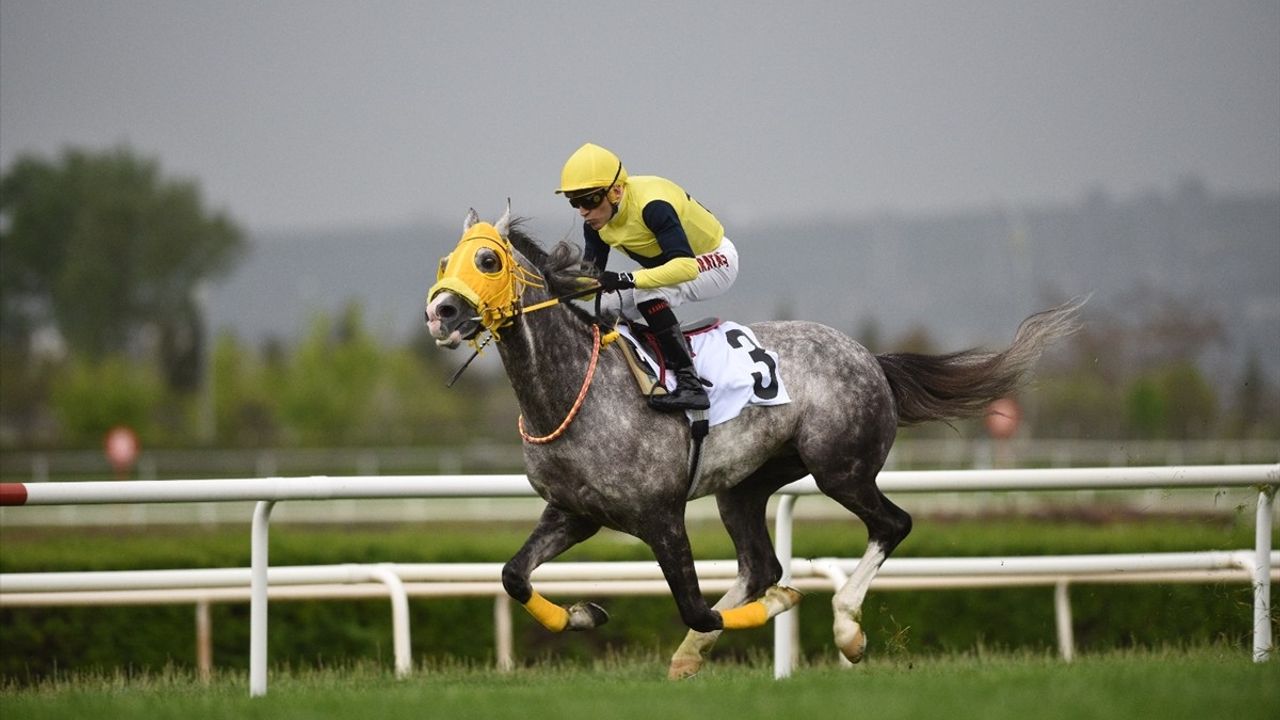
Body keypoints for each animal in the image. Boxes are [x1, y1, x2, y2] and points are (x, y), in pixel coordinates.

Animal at [425, 204, 1082, 678]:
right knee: (761, 562)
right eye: (444, 261)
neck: (571, 393)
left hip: (839, 468)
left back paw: (846, 628)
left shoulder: (660, 514)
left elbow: (695, 604)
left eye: (487, 259)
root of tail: (870, 357)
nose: (441, 312)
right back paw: (693, 653)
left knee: (891, 525)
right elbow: (513, 575)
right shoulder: (574, 512)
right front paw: (584, 613)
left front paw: (785, 609)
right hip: (744, 485)